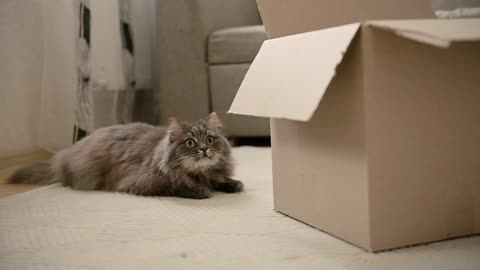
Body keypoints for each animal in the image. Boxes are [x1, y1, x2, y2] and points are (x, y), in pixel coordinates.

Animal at [10, 113, 244, 199]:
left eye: (210, 139)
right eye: (190, 142)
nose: (204, 149)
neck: (199, 173)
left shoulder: (213, 173)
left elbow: (221, 179)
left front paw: (233, 184)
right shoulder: (144, 182)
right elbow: (177, 187)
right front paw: (200, 190)